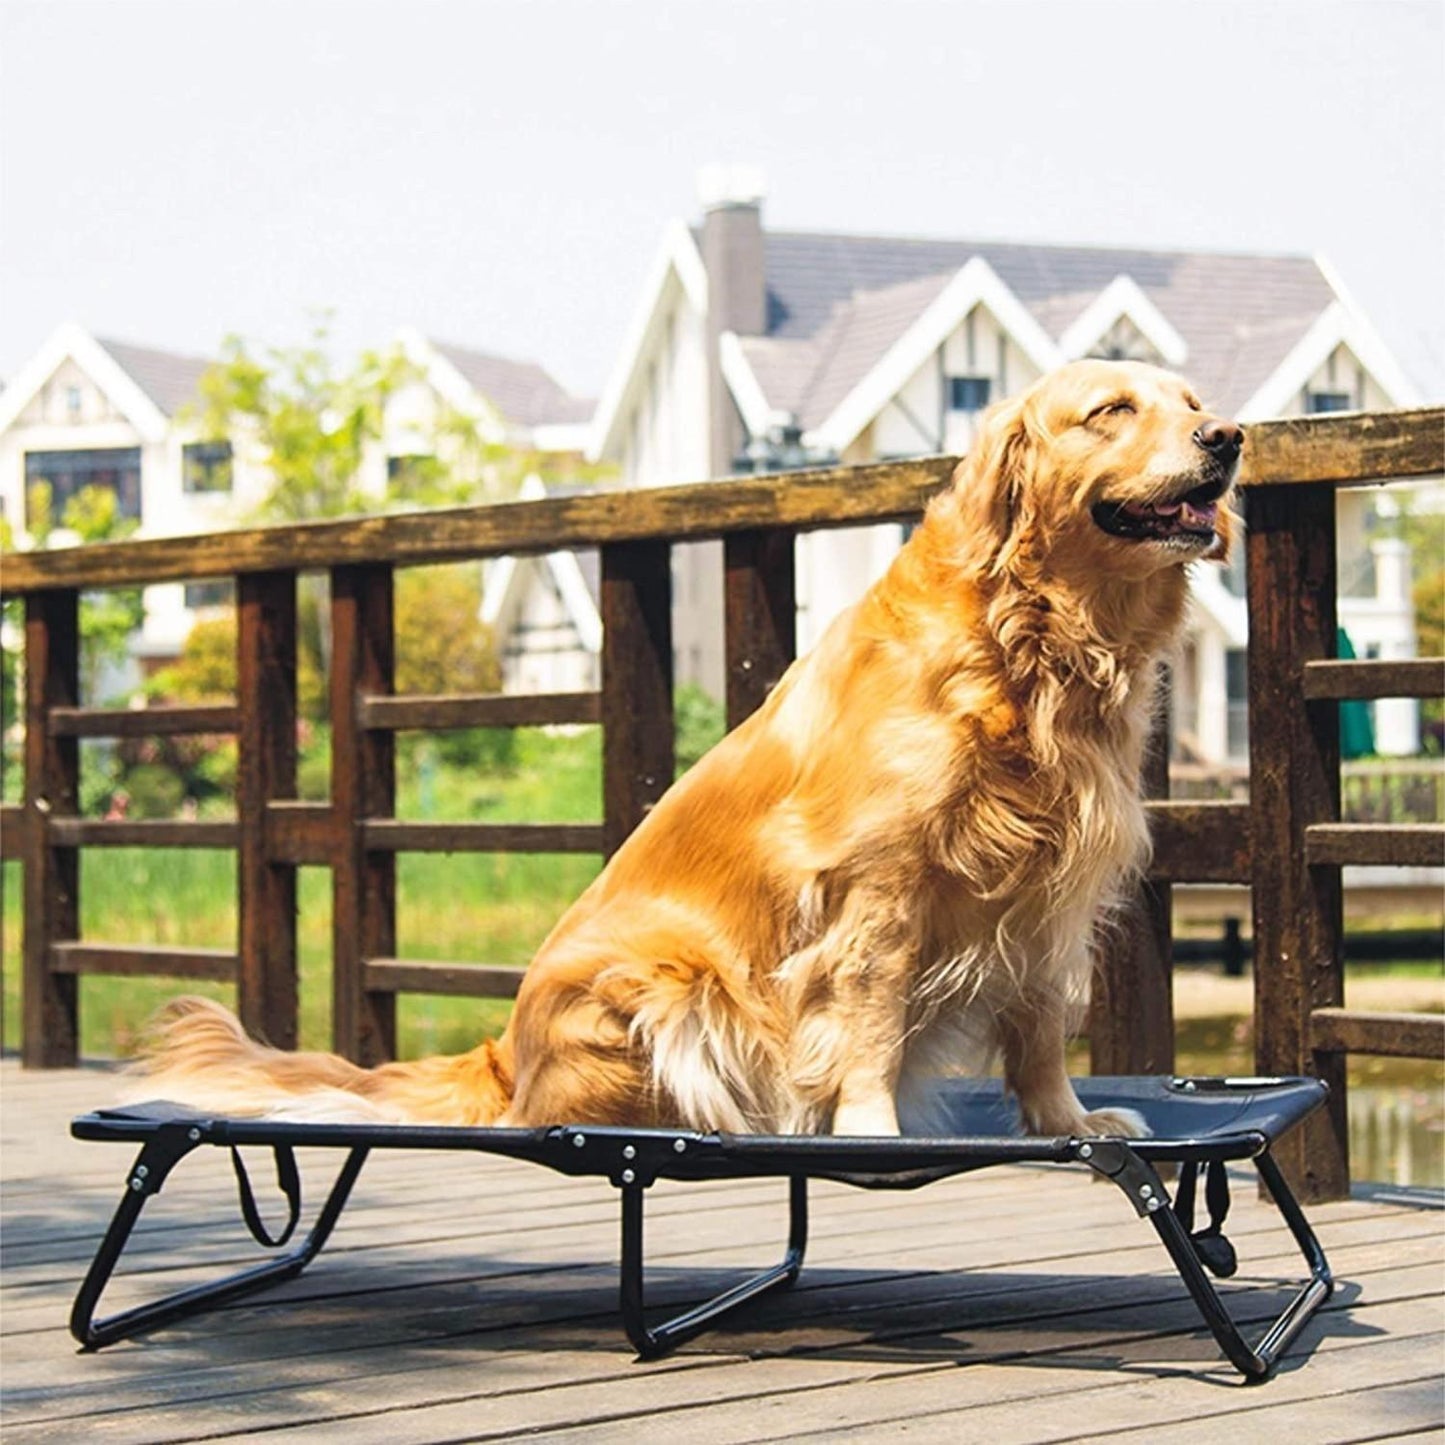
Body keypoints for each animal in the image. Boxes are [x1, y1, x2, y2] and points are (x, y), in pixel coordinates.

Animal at [130, 355, 1242, 1132]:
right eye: (1111, 410)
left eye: (1189, 397)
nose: (1228, 435)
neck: (1030, 646)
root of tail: (503, 1053)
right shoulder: (877, 888)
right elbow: (869, 1022)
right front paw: (869, 1123)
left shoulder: (1054, 891)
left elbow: (1043, 1023)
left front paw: (1067, 1120)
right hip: (669, 984)